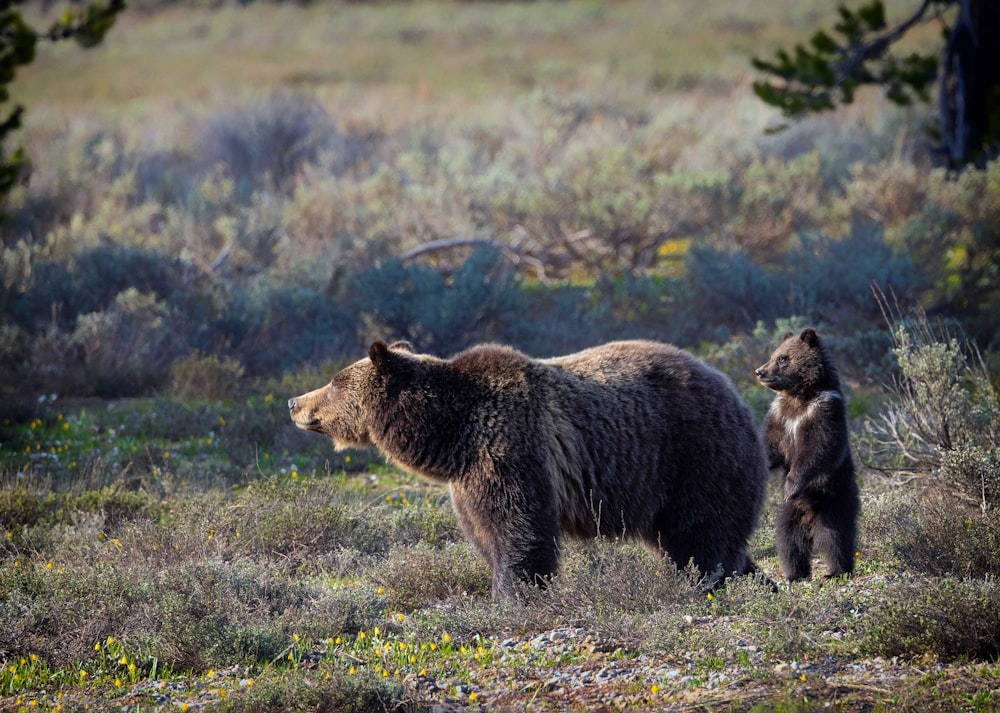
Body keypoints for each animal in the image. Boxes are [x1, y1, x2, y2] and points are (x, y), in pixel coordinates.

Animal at [290, 340, 764, 600]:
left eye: (335, 381)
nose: (295, 402)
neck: (451, 431)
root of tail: (735, 389)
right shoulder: (467, 478)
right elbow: (485, 532)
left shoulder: (509, 445)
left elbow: (519, 526)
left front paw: (514, 594)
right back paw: (754, 581)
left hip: (693, 453)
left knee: (701, 534)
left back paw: (706, 583)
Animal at [752, 328, 864, 580]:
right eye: (774, 355)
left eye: (783, 358)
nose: (760, 371)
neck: (799, 397)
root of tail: (809, 515)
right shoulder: (780, 417)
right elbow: (769, 445)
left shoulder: (823, 413)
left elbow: (817, 450)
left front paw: (791, 484)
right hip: (791, 513)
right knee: (789, 538)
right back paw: (795, 572)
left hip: (834, 498)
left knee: (834, 536)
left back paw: (837, 570)